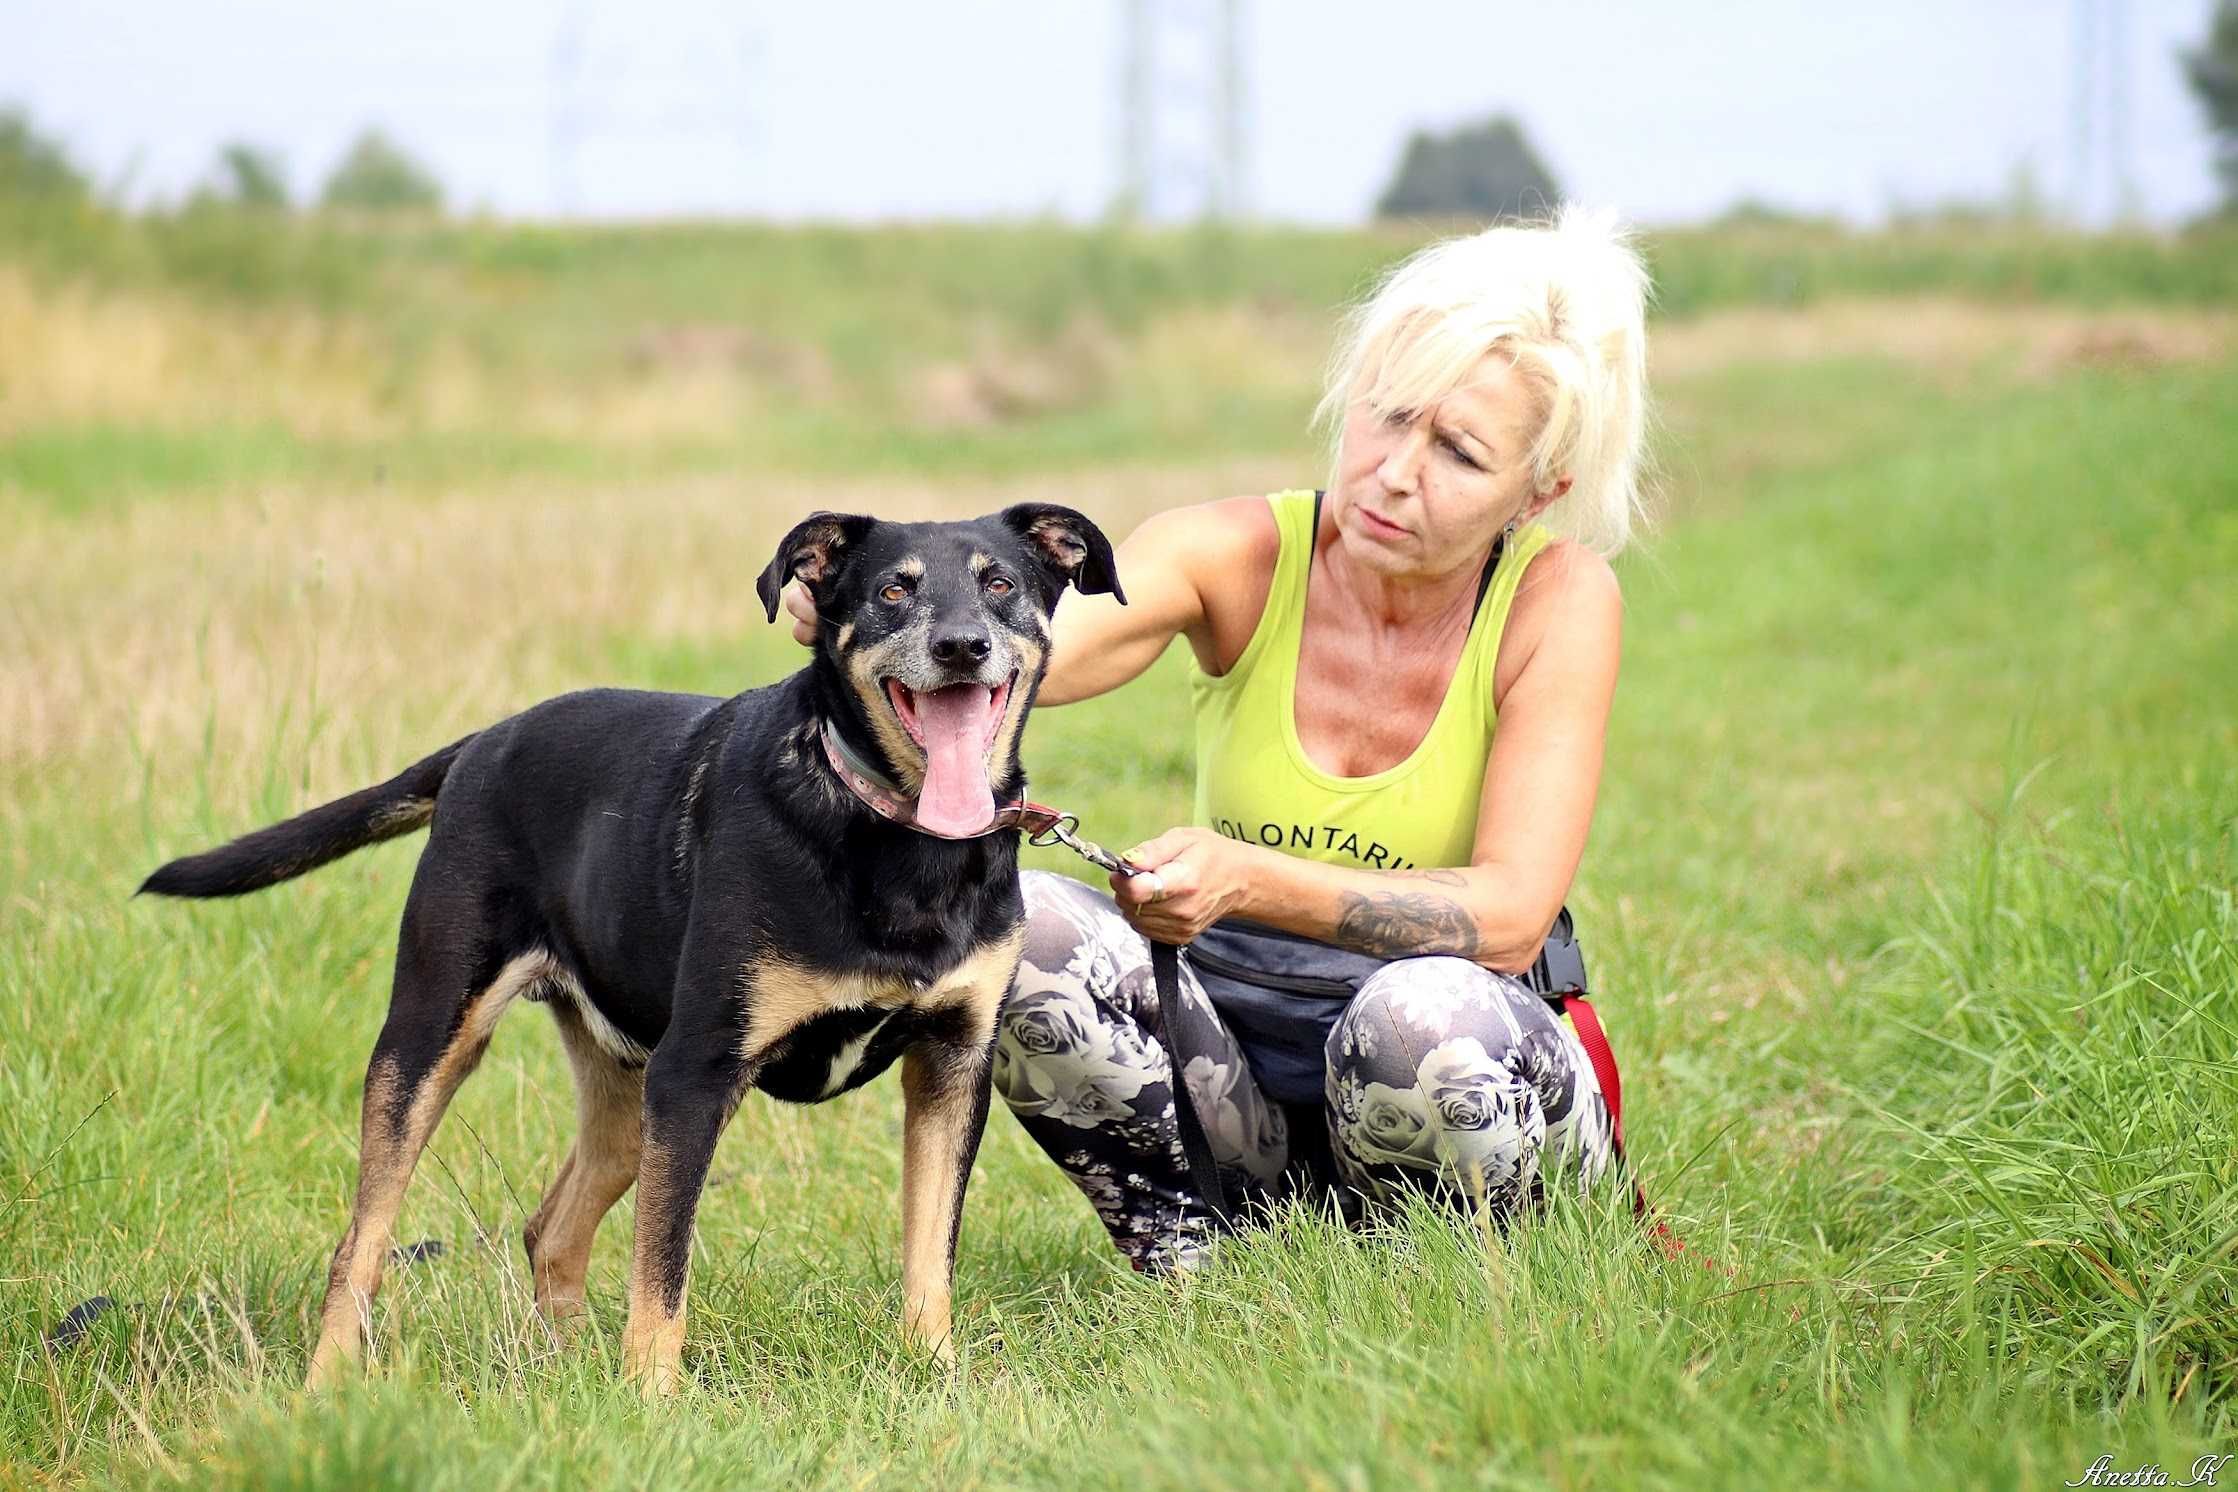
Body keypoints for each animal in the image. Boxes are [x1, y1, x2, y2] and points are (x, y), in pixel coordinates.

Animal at [139, 507, 1119, 1395]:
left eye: (1001, 584)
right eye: (891, 591)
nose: (961, 647)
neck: (896, 833)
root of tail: (483, 742)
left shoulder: (953, 1063)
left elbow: (928, 1251)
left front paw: (935, 1374)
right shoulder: (697, 1072)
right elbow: (664, 1269)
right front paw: (653, 1402)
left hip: (621, 1089)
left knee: (553, 1230)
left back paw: (566, 1375)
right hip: (432, 1037)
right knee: (361, 1245)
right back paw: (330, 1386)